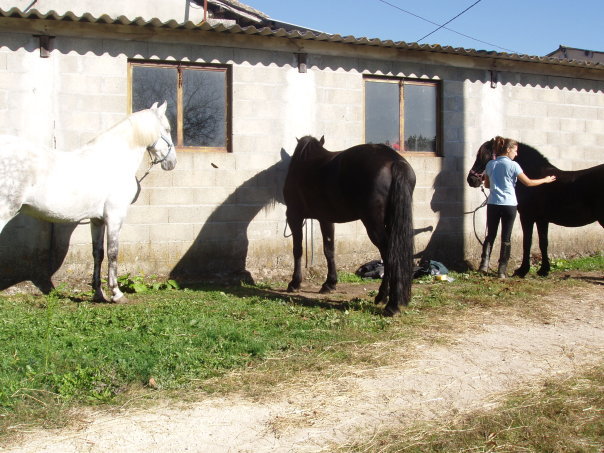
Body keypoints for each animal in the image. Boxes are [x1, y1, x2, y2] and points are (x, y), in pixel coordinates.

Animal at [1, 100, 177, 302]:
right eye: (167, 129)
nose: (172, 163)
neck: (114, 160)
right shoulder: (114, 216)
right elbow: (113, 252)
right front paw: (116, 294)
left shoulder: (97, 220)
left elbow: (98, 254)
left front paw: (98, 293)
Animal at [284, 136, 416, 316]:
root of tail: (394, 160)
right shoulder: (325, 219)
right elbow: (329, 249)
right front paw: (329, 284)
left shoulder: (294, 216)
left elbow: (297, 250)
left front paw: (294, 283)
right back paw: (383, 298)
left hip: (373, 224)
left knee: (390, 255)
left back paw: (391, 304)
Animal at [468, 139, 604, 276]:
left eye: (484, 157)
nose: (471, 179)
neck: (535, 176)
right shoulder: (542, 219)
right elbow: (543, 242)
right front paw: (544, 269)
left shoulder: (527, 217)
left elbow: (527, 242)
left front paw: (522, 270)